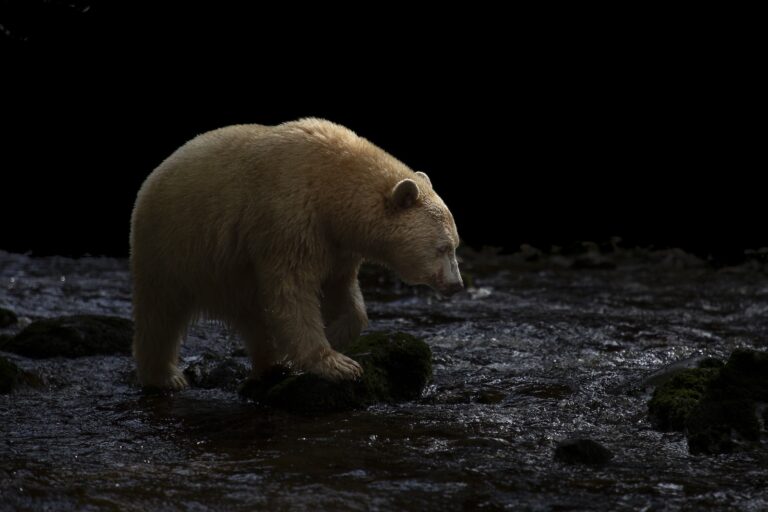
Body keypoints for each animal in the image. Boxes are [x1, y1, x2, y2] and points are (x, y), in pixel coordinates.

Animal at [130, 118, 463, 390]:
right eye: (444, 247)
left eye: (456, 245)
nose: (457, 285)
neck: (332, 184)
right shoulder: (289, 218)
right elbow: (292, 290)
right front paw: (338, 365)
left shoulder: (337, 242)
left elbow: (340, 289)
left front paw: (337, 334)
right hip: (172, 248)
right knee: (160, 314)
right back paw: (165, 377)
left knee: (254, 317)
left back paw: (272, 364)